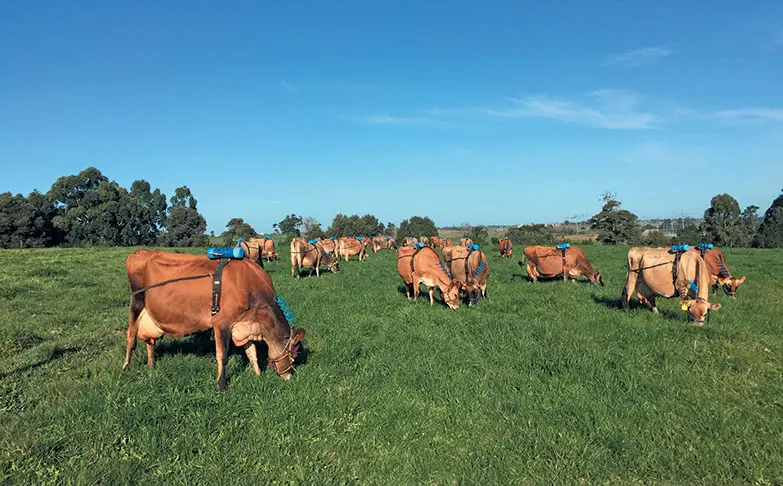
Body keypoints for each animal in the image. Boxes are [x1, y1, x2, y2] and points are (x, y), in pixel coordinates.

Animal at [123, 249, 306, 390]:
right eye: (294, 355)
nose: (289, 377)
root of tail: (140, 252)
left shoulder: (245, 325)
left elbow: (251, 353)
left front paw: (258, 375)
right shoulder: (221, 323)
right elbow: (222, 356)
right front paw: (221, 384)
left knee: (150, 341)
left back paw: (151, 366)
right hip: (136, 303)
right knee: (131, 337)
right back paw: (126, 367)